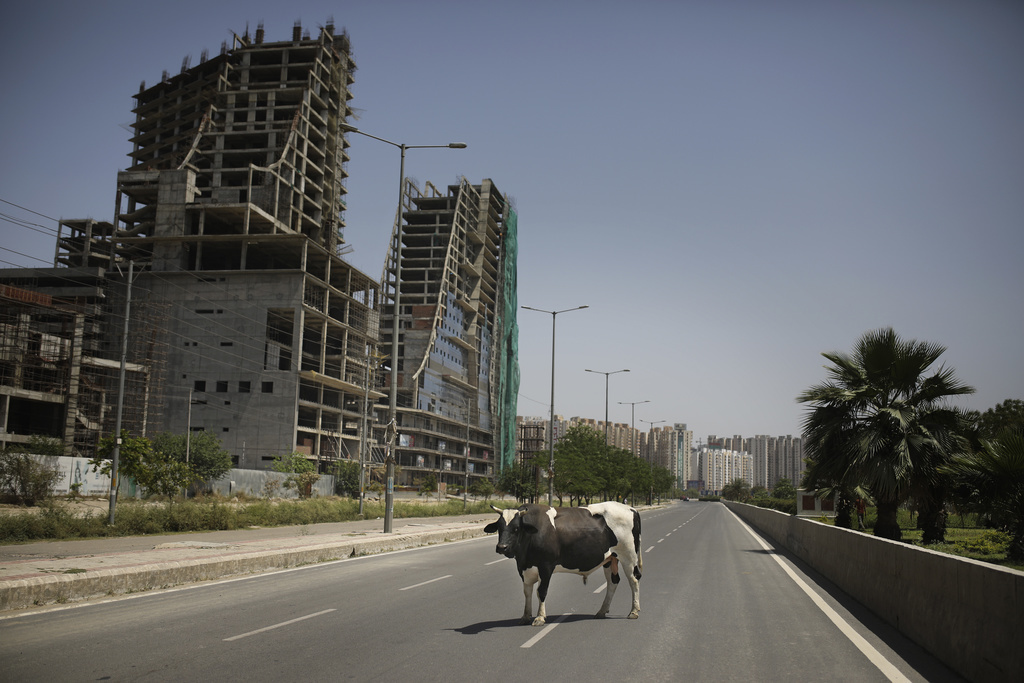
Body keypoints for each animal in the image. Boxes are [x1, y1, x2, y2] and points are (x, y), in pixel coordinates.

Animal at [485, 499, 643, 626]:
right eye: (499, 527)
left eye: (516, 528)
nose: (502, 547)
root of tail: (631, 509)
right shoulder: (524, 568)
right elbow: (527, 592)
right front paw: (525, 616)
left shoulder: (546, 566)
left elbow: (541, 591)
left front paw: (540, 617)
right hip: (610, 558)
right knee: (613, 581)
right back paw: (602, 611)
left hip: (629, 555)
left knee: (634, 580)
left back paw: (634, 611)